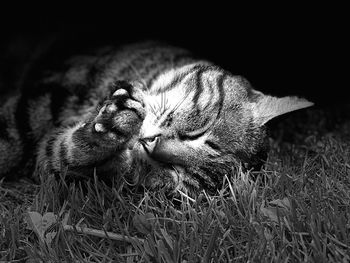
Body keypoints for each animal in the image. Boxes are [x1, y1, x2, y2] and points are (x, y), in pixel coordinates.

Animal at [0, 41, 312, 196]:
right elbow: (11, 133)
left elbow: (66, 155)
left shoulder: (54, 164)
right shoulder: (38, 100)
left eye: (175, 173)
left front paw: (110, 130)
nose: (151, 146)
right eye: (197, 134)